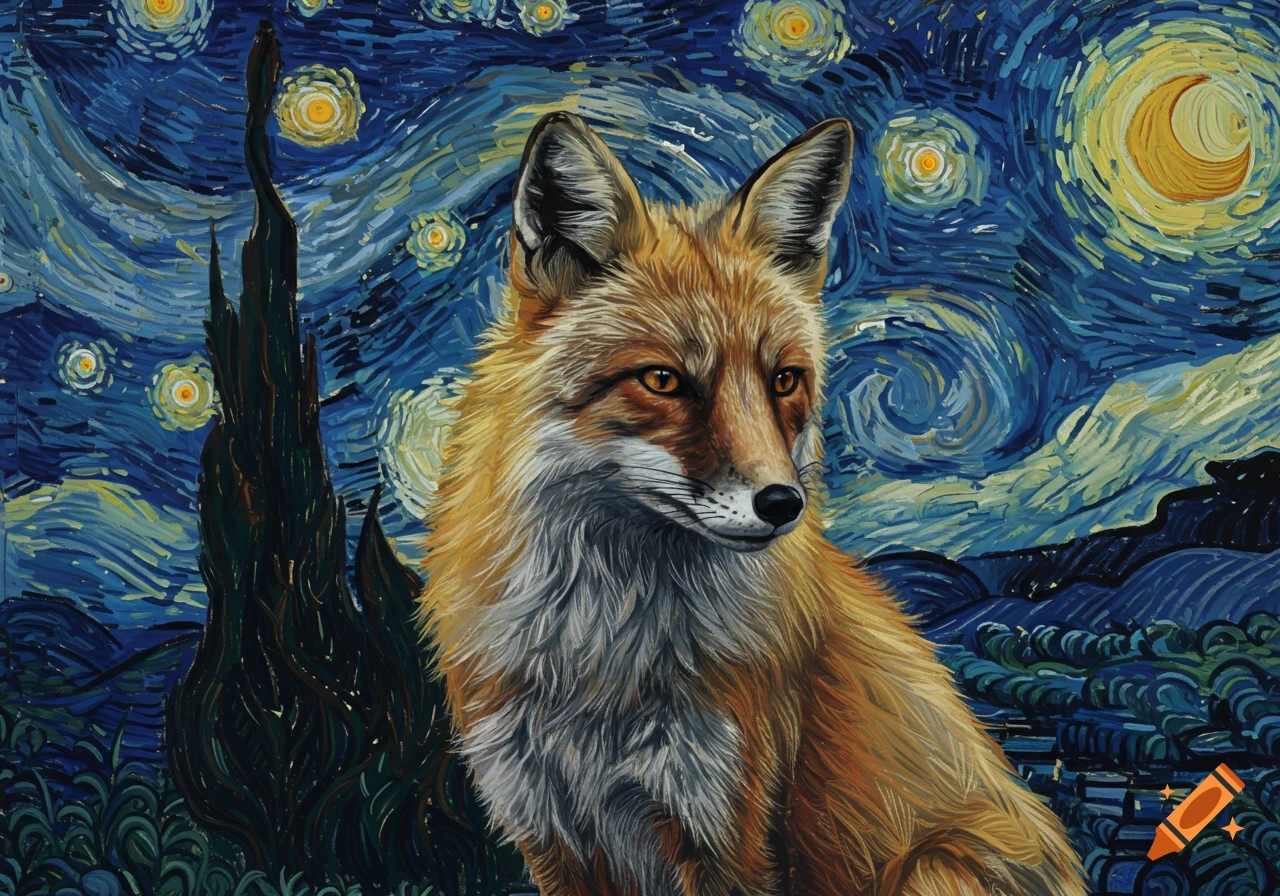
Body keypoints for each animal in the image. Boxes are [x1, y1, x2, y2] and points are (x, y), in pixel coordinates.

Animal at [417, 110, 1088, 896]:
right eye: (664, 380)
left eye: (784, 380)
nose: (782, 503)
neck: (603, 658)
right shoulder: (550, 833)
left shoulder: (731, 834)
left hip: (930, 869)